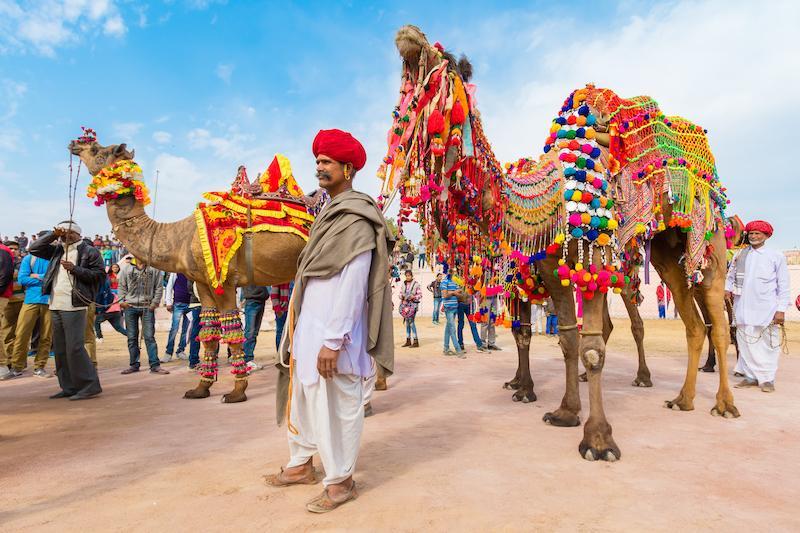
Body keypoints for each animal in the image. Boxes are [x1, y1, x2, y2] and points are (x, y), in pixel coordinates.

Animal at [69, 139, 304, 403]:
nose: (76, 143)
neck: (179, 238)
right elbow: (209, 334)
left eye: (98, 151)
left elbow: (232, 333)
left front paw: (236, 392)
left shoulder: (224, 282)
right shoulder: (203, 283)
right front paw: (201, 388)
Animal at [382, 25, 738, 461]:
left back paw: (717, 402)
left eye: (441, 66)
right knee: (693, 323)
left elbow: (591, 347)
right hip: (668, 255)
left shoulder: (591, 260)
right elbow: (564, 339)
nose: (407, 36)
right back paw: (682, 399)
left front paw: (598, 440)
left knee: (711, 322)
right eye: (406, 84)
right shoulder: (550, 273)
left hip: (702, 241)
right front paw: (563, 410)